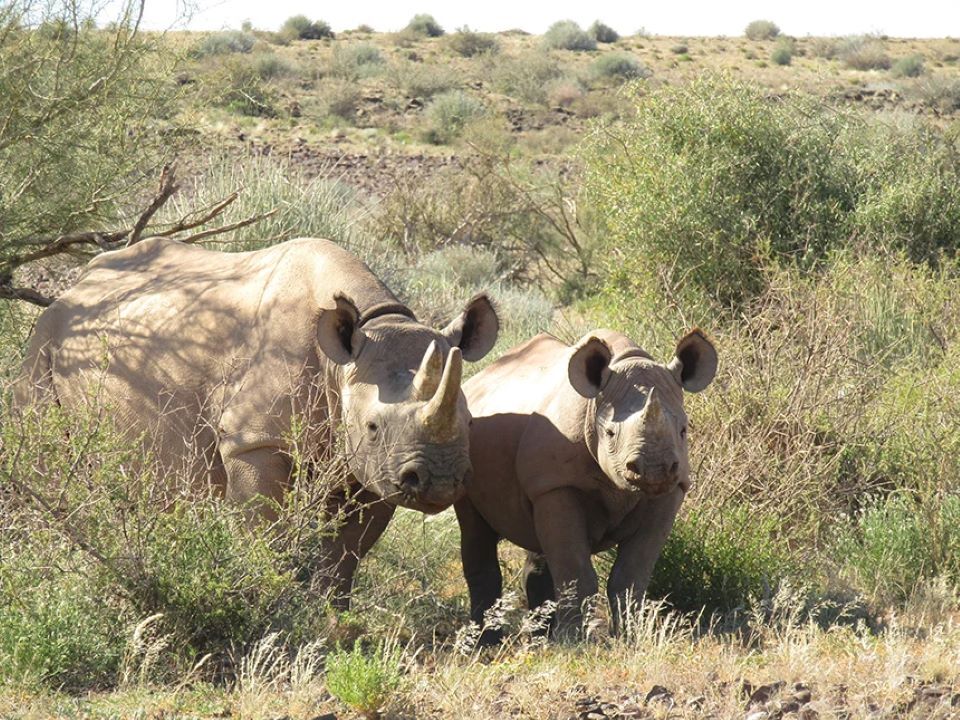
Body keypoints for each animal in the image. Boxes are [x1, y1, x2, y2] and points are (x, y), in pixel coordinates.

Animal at [14, 236, 499, 606]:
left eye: (472, 424)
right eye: (373, 427)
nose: (440, 481)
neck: (345, 361)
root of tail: (74, 286)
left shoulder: (373, 468)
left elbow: (345, 553)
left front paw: (330, 616)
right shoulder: (255, 441)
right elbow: (266, 532)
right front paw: (271, 599)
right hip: (46, 337)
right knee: (47, 458)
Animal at [455, 329, 716, 637]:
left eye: (684, 431)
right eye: (610, 433)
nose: (655, 469)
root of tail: (477, 379)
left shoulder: (671, 490)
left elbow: (632, 573)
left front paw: (632, 636)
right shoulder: (557, 485)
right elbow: (575, 569)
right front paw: (574, 639)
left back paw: (539, 636)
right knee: (475, 528)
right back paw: (487, 641)